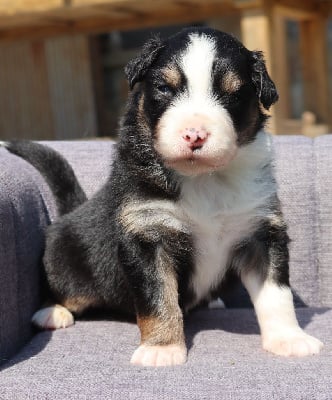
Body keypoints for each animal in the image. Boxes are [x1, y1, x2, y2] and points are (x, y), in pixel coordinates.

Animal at [1, 26, 324, 368]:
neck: (204, 180)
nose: (194, 135)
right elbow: (159, 298)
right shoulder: (147, 234)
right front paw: (162, 348)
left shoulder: (261, 233)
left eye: (232, 93)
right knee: (63, 288)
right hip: (63, 260)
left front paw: (290, 339)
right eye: (164, 88)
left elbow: (276, 294)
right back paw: (52, 311)